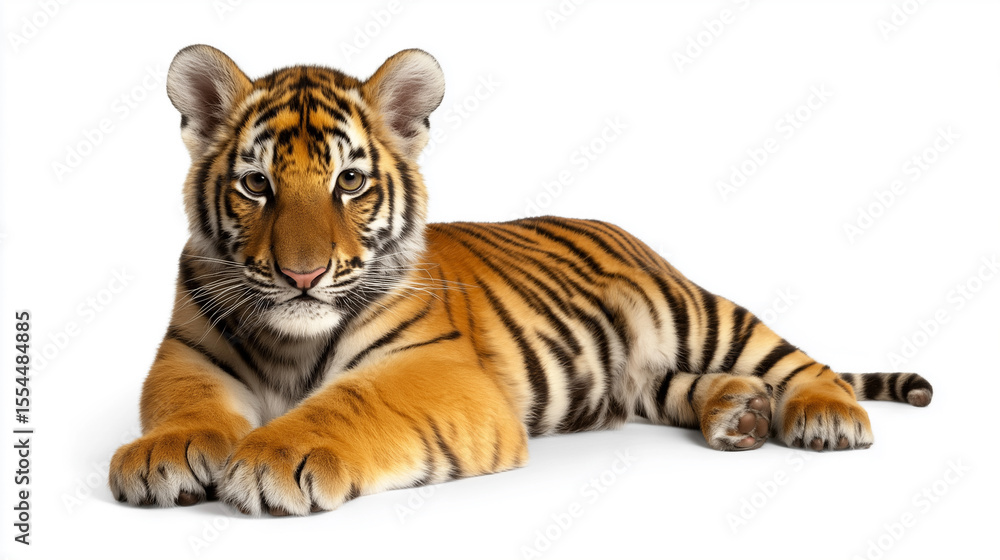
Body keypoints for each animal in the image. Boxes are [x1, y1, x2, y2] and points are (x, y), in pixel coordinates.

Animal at [108, 45, 933, 516]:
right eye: (256, 186)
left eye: (349, 182)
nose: (304, 273)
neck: (291, 344)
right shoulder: (187, 351)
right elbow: (181, 403)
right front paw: (162, 455)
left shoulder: (435, 370)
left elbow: (352, 401)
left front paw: (274, 454)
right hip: (642, 374)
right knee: (676, 386)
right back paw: (739, 414)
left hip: (699, 313)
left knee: (799, 361)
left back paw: (823, 418)